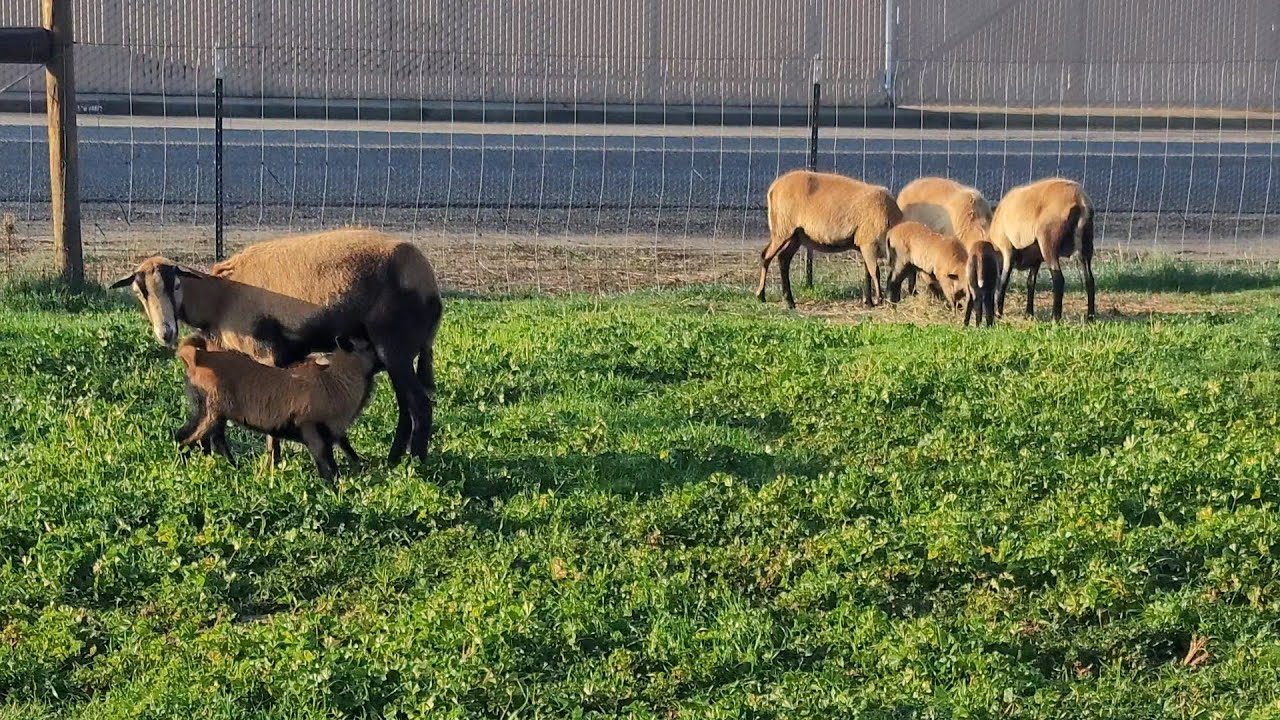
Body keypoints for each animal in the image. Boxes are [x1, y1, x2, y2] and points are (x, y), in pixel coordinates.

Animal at [110, 228, 443, 464]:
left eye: (176, 284)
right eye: (139, 292)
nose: (165, 333)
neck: (220, 297)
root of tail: (430, 284)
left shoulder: (265, 352)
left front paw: (272, 465)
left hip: (394, 347)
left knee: (420, 405)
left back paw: (416, 465)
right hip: (398, 354)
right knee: (406, 407)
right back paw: (393, 461)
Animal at [175, 333, 379, 481]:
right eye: (369, 345)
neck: (335, 382)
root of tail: (197, 358)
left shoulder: (332, 432)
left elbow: (343, 454)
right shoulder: (311, 429)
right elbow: (326, 467)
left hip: (210, 411)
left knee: (208, 439)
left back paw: (233, 468)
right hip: (210, 410)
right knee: (186, 439)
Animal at [757, 169, 903, 309]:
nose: (897, 300)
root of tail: (773, 188)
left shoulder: (865, 245)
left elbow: (867, 273)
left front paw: (868, 302)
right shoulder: (868, 243)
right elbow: (874, 272)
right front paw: (878, 299)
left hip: (797, 236)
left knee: (783, 259)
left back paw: (789, 301)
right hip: (782, 229)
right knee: (766, 256)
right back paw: (761, 295)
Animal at [987, 178, 1096, 320]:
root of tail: (1080, 199)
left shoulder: (1007, 249)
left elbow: (1003, 281)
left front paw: (998, 313)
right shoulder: (1036, 259)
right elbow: (1030, 282)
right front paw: (1028, 314)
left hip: (1048, 242)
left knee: (1058, 279)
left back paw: (1055, 318)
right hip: (1086, 246)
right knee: (1089, 279)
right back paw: (1090, 317)